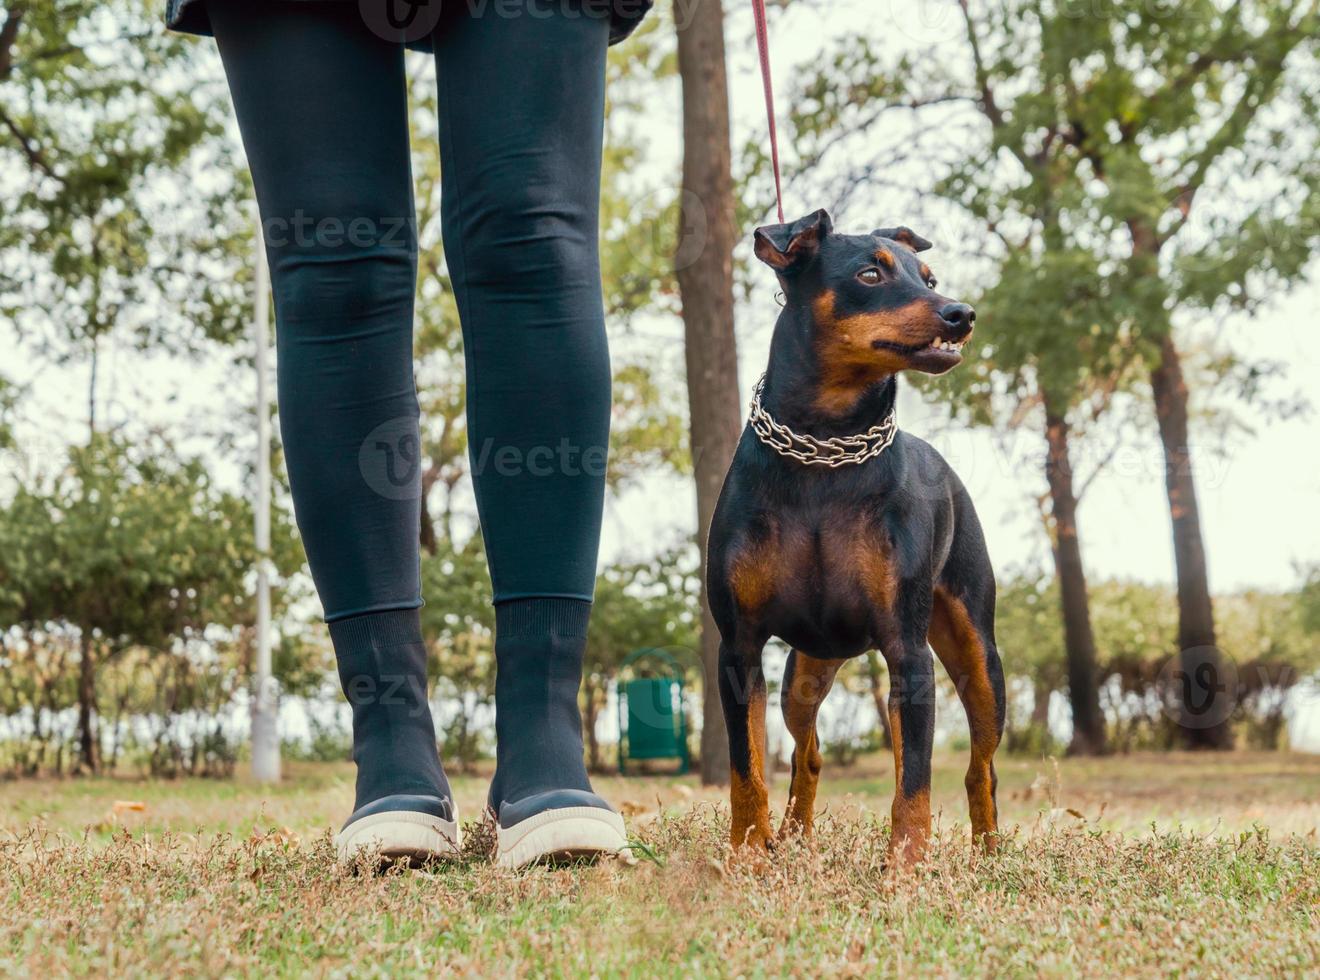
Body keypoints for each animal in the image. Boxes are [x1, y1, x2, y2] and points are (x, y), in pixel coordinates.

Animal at [712, 208, 997, 866]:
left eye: (928, 277)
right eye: (870, 274)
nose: (961, 313)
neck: (825, 446)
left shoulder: (908, 652)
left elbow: (914, 783)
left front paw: (906, 870)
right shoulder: (738, 647)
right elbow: (746, 768)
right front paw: (747, 852)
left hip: (976, 654)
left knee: (978, 766)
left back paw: (990, 851)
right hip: (804, 673)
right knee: (809, 752)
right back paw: (792, 838)